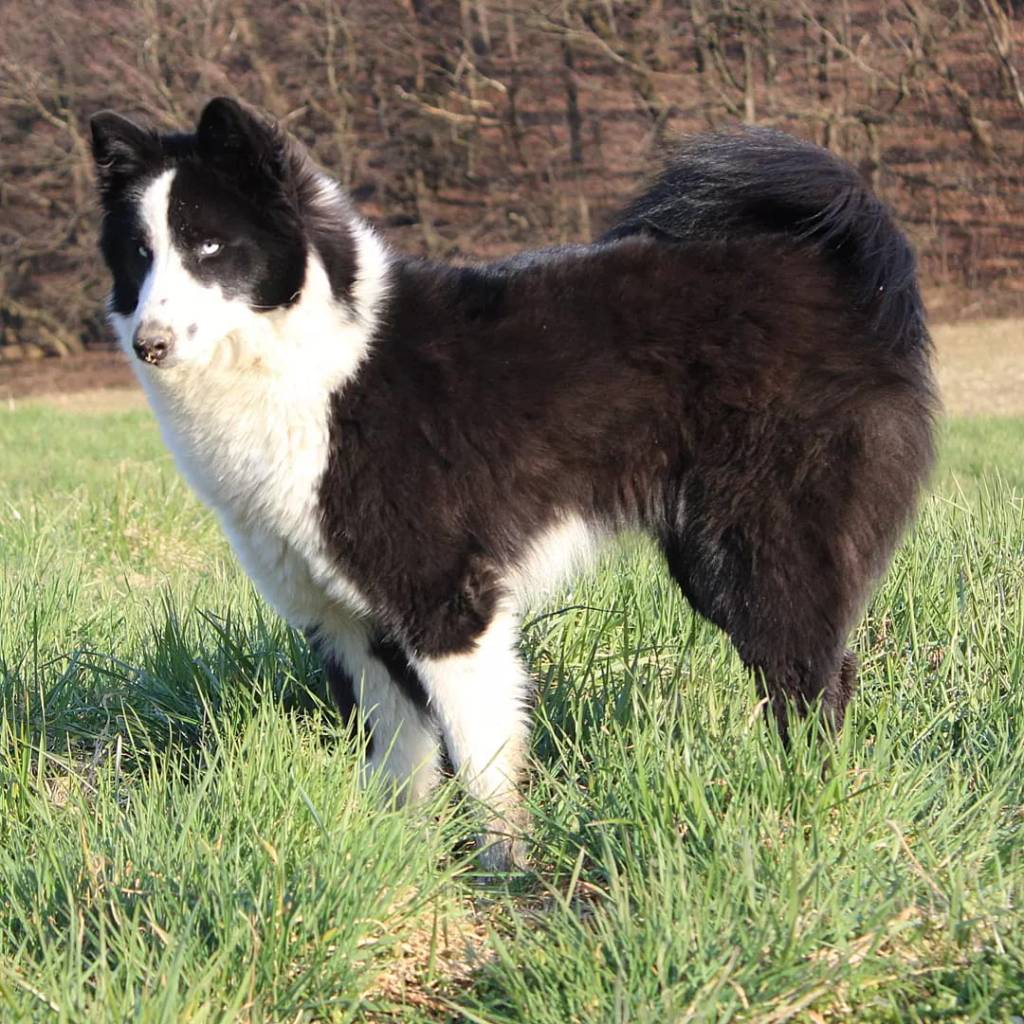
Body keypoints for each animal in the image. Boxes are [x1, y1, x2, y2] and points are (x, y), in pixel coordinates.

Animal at [90, 97, 935, 869]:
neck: (318, 359)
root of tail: (838, 277)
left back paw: (799, 807)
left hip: (750, 551)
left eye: (210, 246)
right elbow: (399, 758)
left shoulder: (447, 604)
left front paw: (504, 867)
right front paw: (399, 860)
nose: (149, 343)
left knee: (810, 678)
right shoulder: (349, 623)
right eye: (140, 252)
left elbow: (482, 754)